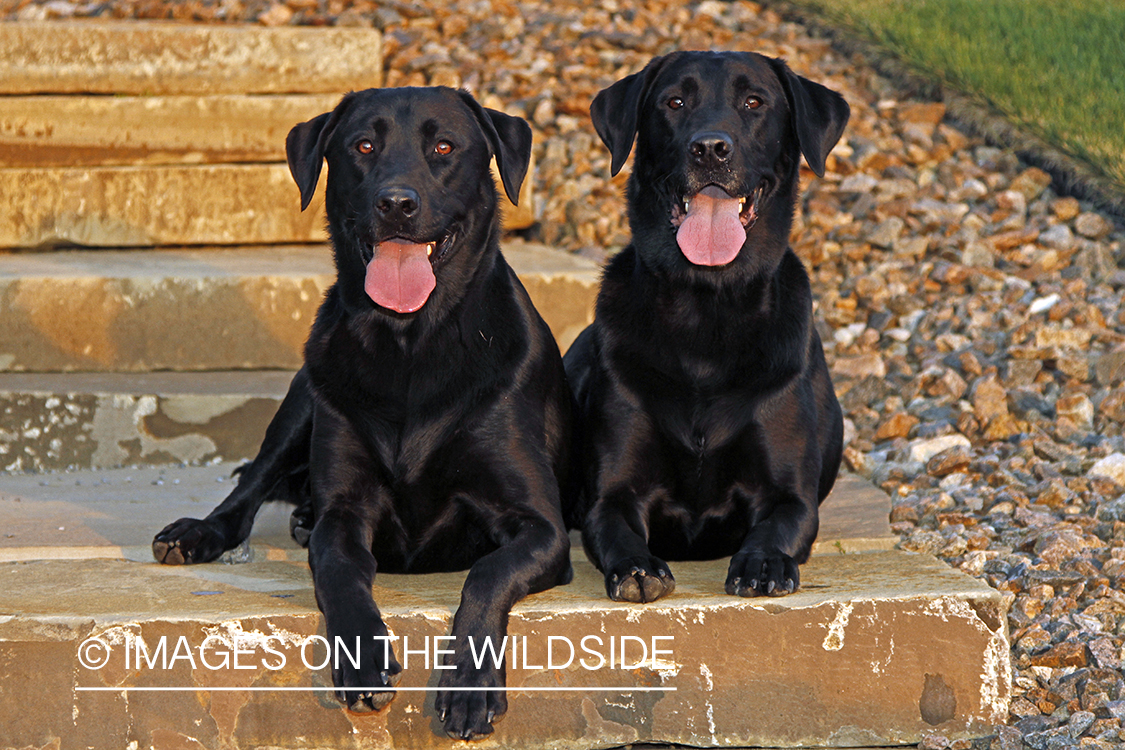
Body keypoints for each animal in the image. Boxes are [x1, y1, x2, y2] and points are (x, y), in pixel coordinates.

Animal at [151, 86, 571, 737]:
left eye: (444, 147)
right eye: (363, 146)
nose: (395, 203)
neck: (412, 344)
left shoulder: (543, 527)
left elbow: (487, 573)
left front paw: (471, 685)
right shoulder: (345, 511)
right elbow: (338, 570)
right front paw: (363, 659)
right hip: (305, 394)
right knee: (248, 490)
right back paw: (201, 532)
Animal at [567, 51, 846, 602]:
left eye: (754, 102)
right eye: (674, 102)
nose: (711, 149)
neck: (706, 308)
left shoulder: (790, 497)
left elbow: (775, 527)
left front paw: (762, 563)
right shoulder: (611, 493)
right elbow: (615, 527)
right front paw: (637, 568)